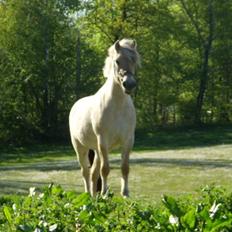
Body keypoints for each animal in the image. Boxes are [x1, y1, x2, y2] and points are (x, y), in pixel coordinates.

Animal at [69, 38, 140, 198]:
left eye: (134, 60)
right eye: (117, 61)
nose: (129, 84)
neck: (118, 106)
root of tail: (75, 105)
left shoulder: (128, 140)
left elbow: (125, 167)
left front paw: (125, 194)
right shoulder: (103, 141)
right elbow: (105, 169)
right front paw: (105, 194)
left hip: (96, 150)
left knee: (93, 174)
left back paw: (93, 197)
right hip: (80, 147)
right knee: (85, 172)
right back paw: (88, 194)